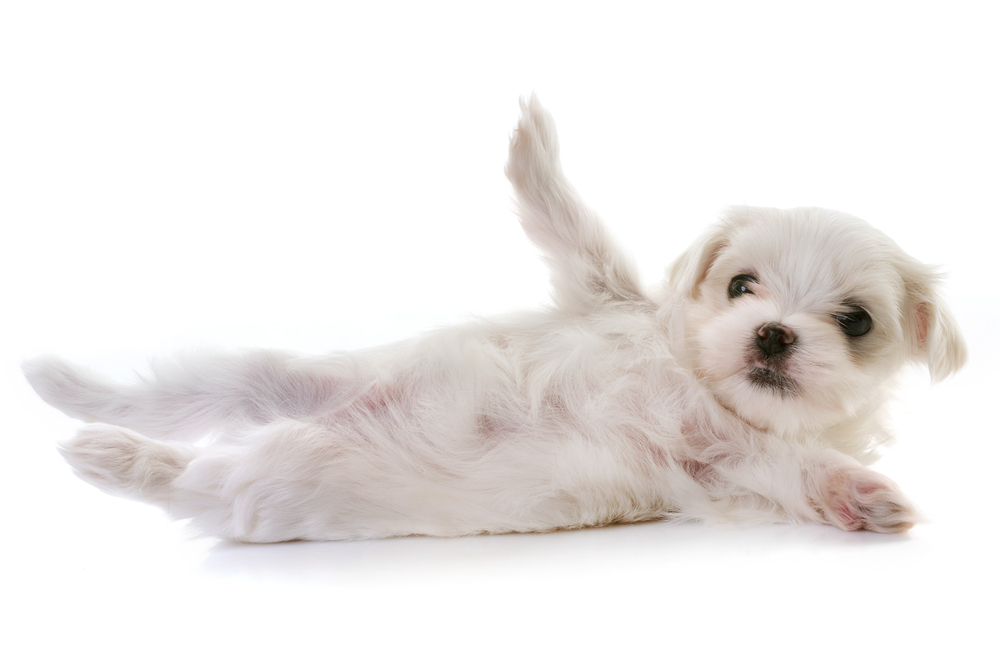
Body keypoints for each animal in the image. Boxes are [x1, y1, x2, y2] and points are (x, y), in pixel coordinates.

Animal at [23, 95, 964, 540]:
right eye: (741, 287)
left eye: (855, 321)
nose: (773, 332)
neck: (698, 386)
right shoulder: (603, 295)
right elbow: (574, 229)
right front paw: (533, 148)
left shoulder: (726, 467)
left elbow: (796, 469)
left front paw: (864, 498)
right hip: (286, 382)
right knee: (186, 395)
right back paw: (64, 388)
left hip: (256, 476)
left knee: (179, 473)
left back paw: (110, 455)